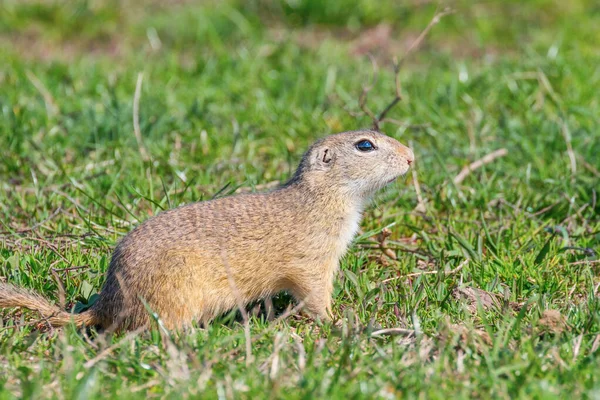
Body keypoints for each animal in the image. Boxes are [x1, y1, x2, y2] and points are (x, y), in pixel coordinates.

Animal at [0, 130, 412, 332]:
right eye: (365, 145)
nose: (411, 156)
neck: (323, 196)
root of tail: (105, 302)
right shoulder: (312, 259)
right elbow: (314, 294)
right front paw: (338, 320)